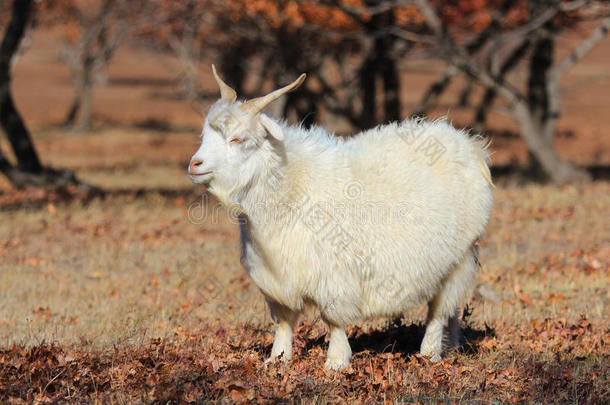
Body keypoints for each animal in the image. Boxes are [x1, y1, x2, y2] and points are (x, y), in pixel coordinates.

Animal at [188, 66, 492, 370]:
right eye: (205, 136)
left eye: (237, 139)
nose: (194, 164)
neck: (291, 187)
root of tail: (468, 145)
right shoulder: (276, 277)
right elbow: (284, 322)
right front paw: (277, 359)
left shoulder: (335, 274)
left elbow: (333, 321)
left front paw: (335, 362)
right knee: (451, 310)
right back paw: (451, 347)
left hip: (457, 259)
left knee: (439, 311)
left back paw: (429, 353)